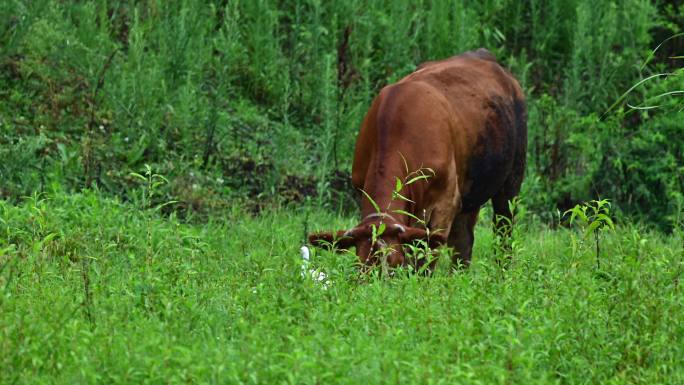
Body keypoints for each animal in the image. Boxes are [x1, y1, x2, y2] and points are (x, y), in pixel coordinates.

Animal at [308, 48, 528, 268]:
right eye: (358, 265)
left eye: (396, 262)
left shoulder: (445, 204)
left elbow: (425, 261)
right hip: (470, 192)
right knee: (463, 243)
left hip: (511, 182)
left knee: (503, 235)